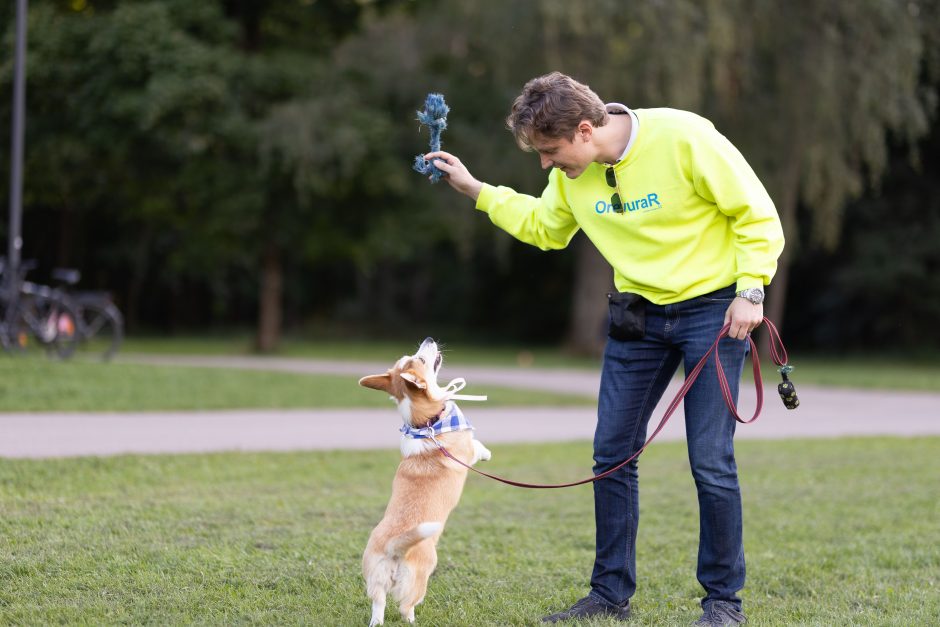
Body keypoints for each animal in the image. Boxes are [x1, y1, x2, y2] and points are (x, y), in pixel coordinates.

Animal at [358, 340, 492, 624]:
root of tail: (394, 548)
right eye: (420, 358)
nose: (429, 339)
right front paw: (487, 453)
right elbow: (476, 446)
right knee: (405, 607)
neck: (426, 424)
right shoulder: (466, 451)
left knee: (378, 605)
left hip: (375, 578)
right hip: (421, 575)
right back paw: (413, 620)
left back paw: (377, 621)